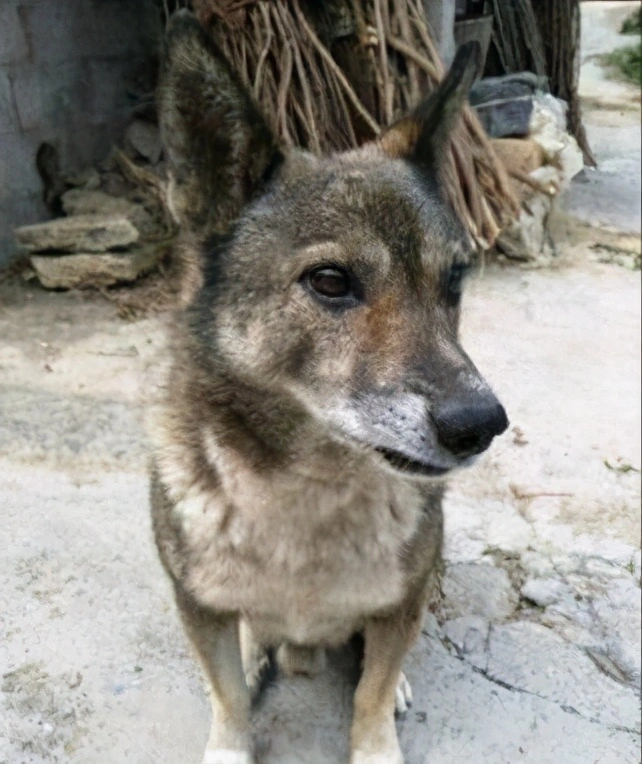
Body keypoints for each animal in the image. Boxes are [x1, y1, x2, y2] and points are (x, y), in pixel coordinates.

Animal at [148, 13, 508, 764]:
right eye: (330, 281)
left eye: (454, 282)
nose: (481, 424)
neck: (307, 493)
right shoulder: (198, 603)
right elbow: (229, 699)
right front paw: (231, 738)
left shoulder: (400, 600)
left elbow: (370, 689)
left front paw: (377, 738)